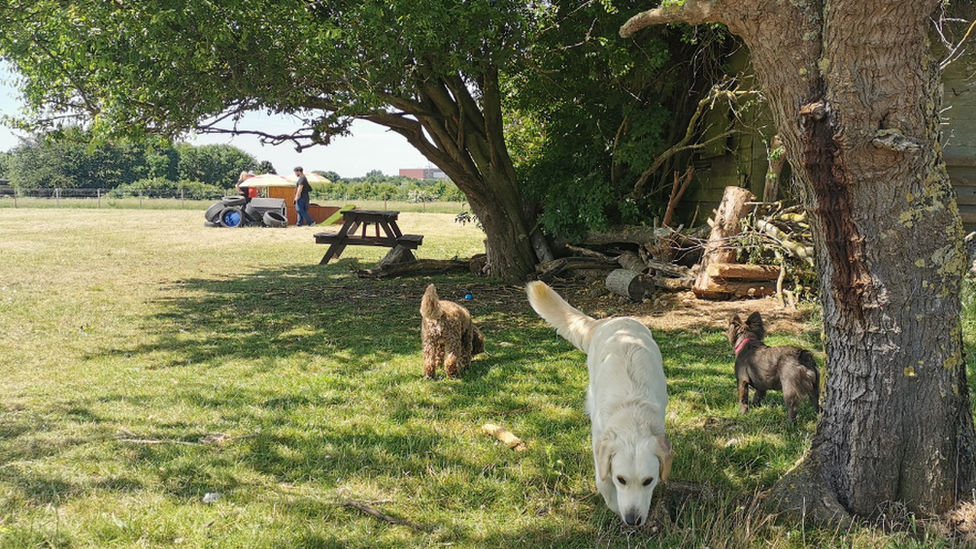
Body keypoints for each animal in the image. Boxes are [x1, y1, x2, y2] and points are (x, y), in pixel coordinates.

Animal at [528, 280, 672, 524]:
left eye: (648, 481)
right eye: (621, 479)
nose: (632, 520)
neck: (632, 412)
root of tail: (611, 319)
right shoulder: (599, 440)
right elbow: (602, 479)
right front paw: (613, 505)